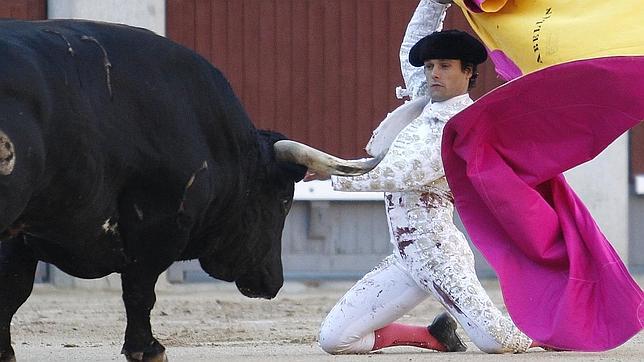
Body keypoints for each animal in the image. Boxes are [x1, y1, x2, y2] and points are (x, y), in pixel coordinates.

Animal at [0, 20, 312, 362]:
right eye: (284, 200)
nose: (273, 281)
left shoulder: (24, 232)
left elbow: (12, 289)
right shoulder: (158, 223)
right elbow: (140, 290)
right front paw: (148, 348)